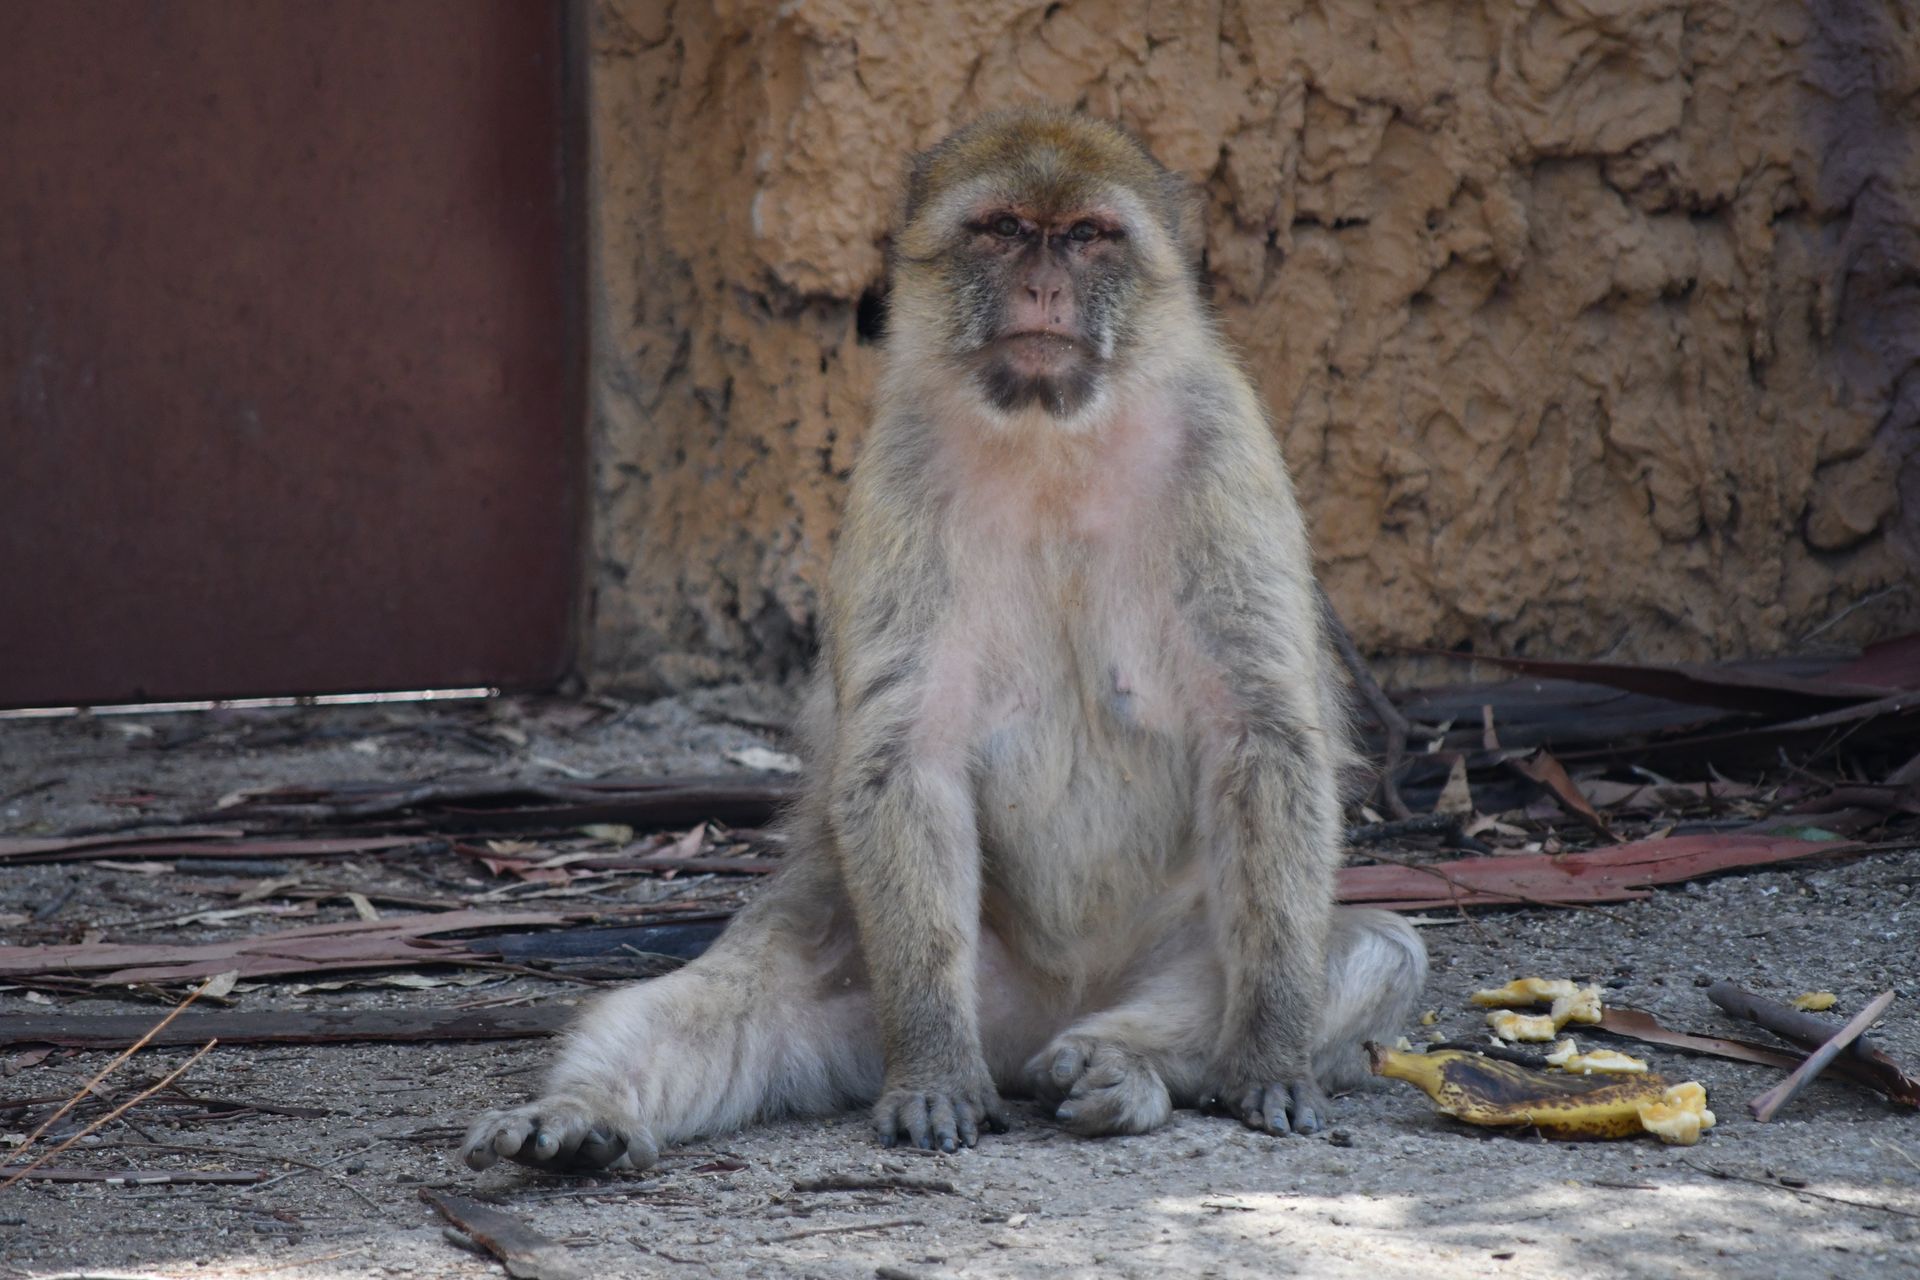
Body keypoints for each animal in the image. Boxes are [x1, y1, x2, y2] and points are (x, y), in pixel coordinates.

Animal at [461, 109, 1426, 1173]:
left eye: (1088, 235)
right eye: (1002, 229)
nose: (1044, 287)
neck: (1053, 441)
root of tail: (1035, 1016)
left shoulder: (1226, 451)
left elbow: (1264, 736)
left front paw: (1268, 1057)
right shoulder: (899, 467)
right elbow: (906, 756)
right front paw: (930, 1070)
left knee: (1380, 950)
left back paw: (1118, 1063)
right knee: (716, 1006)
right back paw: (584, 1117)